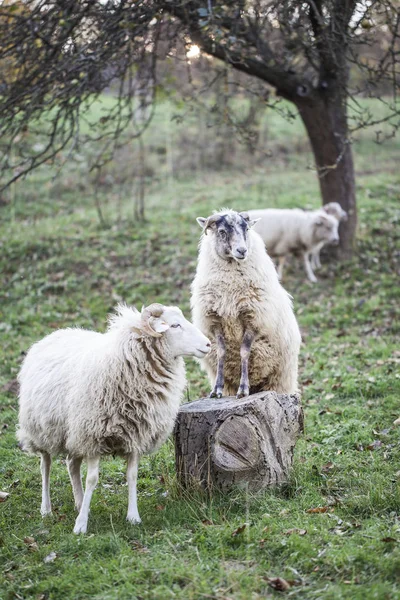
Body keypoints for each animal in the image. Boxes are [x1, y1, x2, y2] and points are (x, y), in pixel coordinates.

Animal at [17, 304, 211, 536]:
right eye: (174, 325)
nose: (209, 344)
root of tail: (53, 334)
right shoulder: (93, 435)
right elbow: (92, 479)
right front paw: (81, 525)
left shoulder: (136, 434)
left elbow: (132, 476)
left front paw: (133, 517)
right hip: (42, 429)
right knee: (45, 465)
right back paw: (46, 509)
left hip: (73, 431)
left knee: (71, 465)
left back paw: (79, 502)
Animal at [191, 209, 300, 400]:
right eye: (222, 231)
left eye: (247, 229)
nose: (242, 250)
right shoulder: (214, 319)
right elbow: (221, 352)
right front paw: (216, 390)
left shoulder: (253, 318)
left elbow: (244, 352)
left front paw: (243, 389)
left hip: (280, 378)